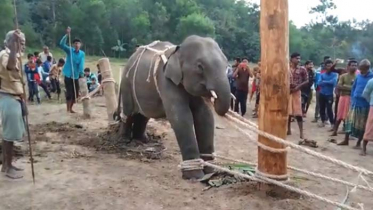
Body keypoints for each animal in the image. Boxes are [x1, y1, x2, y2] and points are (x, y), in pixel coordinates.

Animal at [120, 35, 230, 179]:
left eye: (227, 65)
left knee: (144, 115)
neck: (178, 51)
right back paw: (124, 140)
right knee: (129, 113)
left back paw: (142, 140)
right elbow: (181, 117)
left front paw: (210, 171)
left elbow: (205, 116)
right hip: (127, 83)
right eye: (200, 67)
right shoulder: (166, 80)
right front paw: (195, 176)